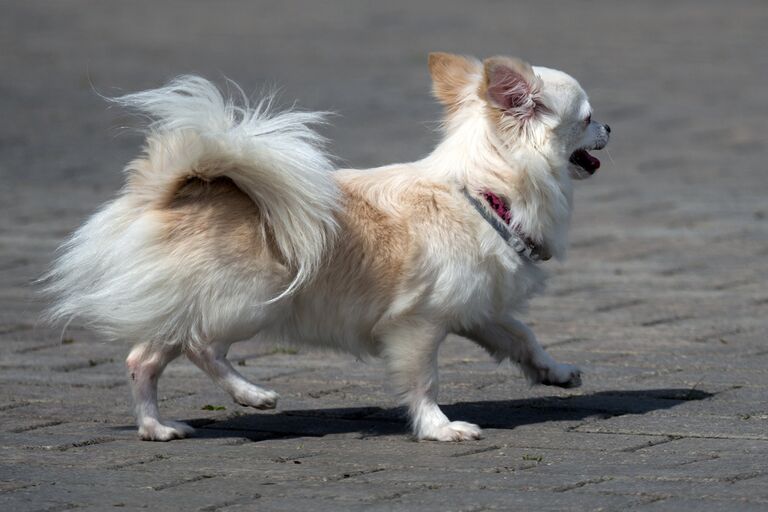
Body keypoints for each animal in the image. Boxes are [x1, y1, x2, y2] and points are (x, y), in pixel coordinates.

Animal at [45, 54, 612, 442]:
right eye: (587, 118)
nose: (610, 125)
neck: (483, 193)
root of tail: (171, 190)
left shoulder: (478, 310)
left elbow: (523, 337)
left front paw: (557, 372)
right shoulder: (418, 326)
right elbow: (424, 381)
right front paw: (439, 428)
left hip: (199, 302)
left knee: (145, 357)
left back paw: (157, 427)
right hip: (249, 300)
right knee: (194, 346)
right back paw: (249, 395)